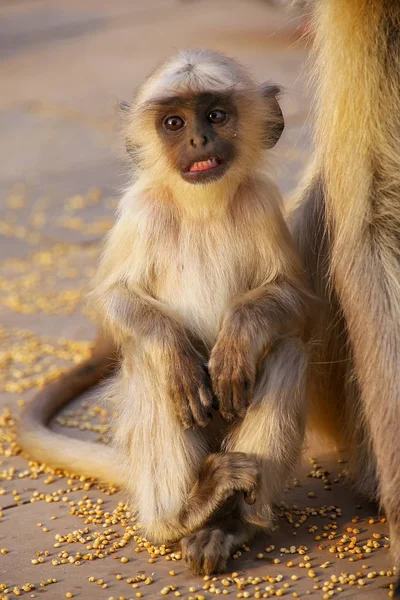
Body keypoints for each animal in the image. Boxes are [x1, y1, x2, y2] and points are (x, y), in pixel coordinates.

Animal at [19, 49, 312, 576]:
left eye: (215, 115)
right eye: (174, 123)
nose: (198, 140)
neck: (200, 206)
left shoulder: (261, 203)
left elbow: (294, 299)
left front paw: (237, 340)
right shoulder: (142, 209)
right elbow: (114, 300)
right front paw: (176, 353)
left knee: (288, 351)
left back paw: (230, 522)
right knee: (151, 366)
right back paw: (187, 510)